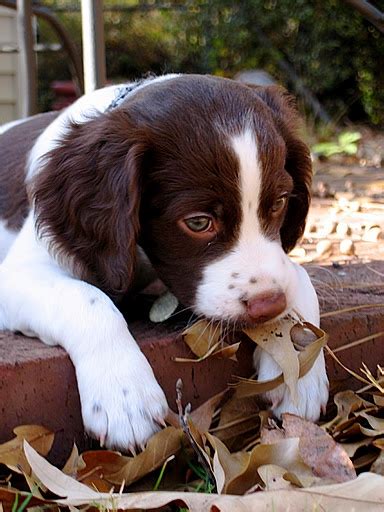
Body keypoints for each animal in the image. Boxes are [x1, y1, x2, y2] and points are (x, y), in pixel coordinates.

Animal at [0, 74, 330, 450]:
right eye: (198, 222)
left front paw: (300, 370)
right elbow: (88, 299)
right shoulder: (17, 272)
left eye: (278, 203)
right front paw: (125, 397)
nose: (267, 305)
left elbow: (299, 277)